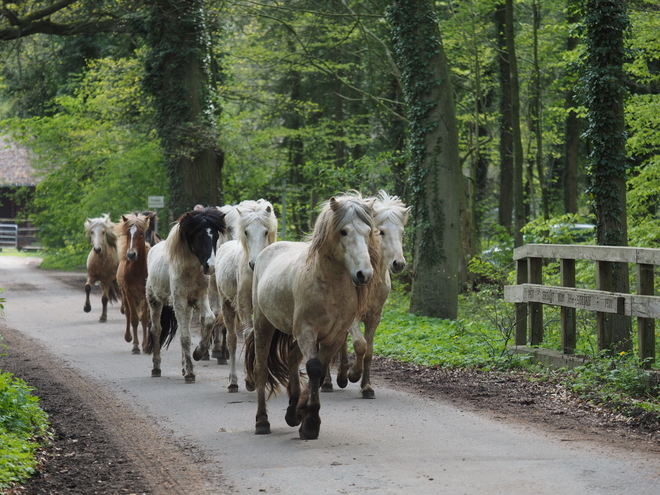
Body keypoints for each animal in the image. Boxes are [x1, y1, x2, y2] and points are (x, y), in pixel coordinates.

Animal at [116, 214, 153, 356]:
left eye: (141, 233)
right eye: (127, 233)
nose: (131, 254)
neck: (136, 270)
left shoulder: (146, 294)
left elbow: (145, 319)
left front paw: (145, 345)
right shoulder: (129, 293)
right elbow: (134, 319)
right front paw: (135, 346)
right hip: (125, 294)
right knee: (127, 312)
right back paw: (128, 336)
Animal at [144, 207, 227, 386]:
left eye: (215, 236)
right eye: (199, 236)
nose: (211, 267)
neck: (190, 271)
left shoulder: (200, 299)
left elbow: (209, 320)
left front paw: (198, 353)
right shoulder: (179, 302)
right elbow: (185, 337)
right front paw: (190, 373)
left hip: (187, 307)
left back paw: (182, 367)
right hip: (155, 302)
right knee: (156, 330)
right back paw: (156, 368)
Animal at [200, 200, 278, 394]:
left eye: (266, 232)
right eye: (246, 232)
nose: (254, 264)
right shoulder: (243, 305)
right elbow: (249, 335)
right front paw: (251, 379)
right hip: (226, 304)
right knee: (232, 339)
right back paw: (233, 381)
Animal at [242, 196, 378, 440]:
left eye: (368, 230)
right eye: (343, 231)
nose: (364, 274)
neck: (329, 286)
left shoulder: (334, 337)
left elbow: (321, 370)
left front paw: (301, 413)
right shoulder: (307, 331)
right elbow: (314, 368)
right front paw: (311, 423)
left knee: (292, 357)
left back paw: (292, 410)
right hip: (263, 324)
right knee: (261, 369)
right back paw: (262, 421)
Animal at [322, 191, 410, 400]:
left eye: (402, 232)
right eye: (381, 231)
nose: (399, 264)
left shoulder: (374, 317)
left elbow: (368, 351)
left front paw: (367, 387)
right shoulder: (353, 317)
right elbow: (359, 344)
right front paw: (354, 374)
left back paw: (341, 376)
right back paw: (329, 382)